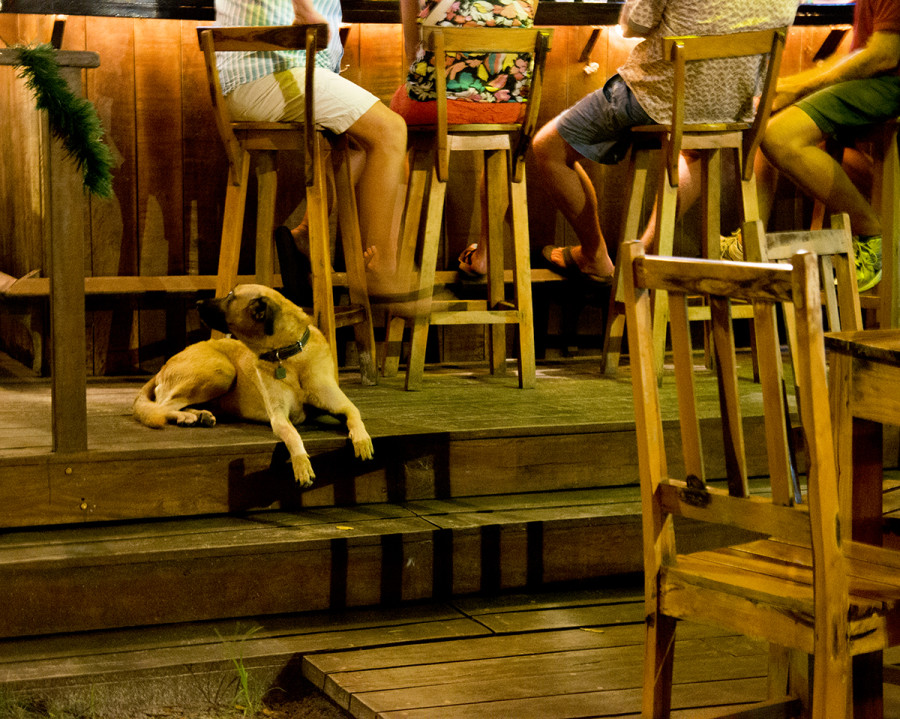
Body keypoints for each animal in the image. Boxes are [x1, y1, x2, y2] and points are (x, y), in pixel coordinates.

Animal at [133, 284, 372, 486]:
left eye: (230, 297)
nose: (198, 302)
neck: (288, 354)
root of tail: (163, 366)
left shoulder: (341, 404)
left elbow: (355, 415)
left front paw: (362, 440)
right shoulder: (279, 417)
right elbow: (293, 435)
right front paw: (302, 464)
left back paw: (199, 415)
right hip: (222, 370)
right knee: (161, 407)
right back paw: (186, 416)